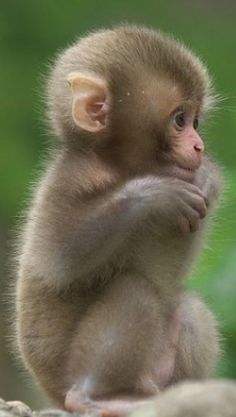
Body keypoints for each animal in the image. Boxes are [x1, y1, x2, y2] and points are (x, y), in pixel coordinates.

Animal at [15, 24, 222, 414]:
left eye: (197, 121)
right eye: (180, 120)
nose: (199, 145)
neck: (119, 166)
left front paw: (207, 176)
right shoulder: (68, 179)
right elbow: (59, 258)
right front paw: (156, 194)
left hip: (156, 369)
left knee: (189, 310)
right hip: (67, 371)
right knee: (135, 289)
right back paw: (89, 395)